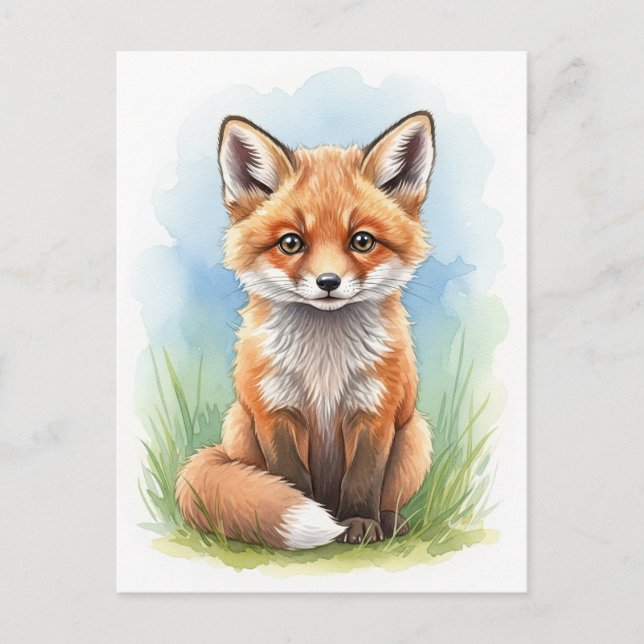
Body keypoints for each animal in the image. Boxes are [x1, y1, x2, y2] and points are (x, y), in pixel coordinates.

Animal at [176, 111, 435, 548]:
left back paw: (387, 520)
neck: (324, 363)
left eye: (362, 241)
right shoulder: (274, 410)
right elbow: (289, 477)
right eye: (291, 243)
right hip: (238, 424)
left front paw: (359, 522)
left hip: (415, 435)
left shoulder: (374, 411)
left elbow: (363, 477)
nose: (328, 282)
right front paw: (310, 516)